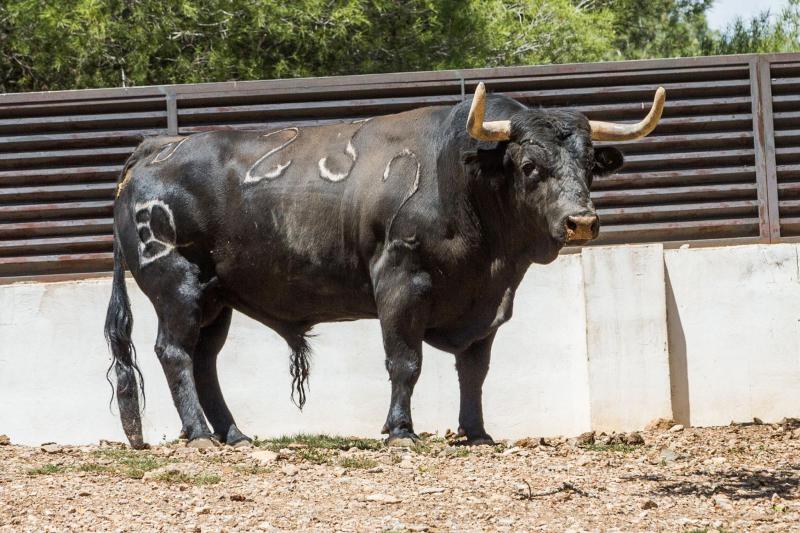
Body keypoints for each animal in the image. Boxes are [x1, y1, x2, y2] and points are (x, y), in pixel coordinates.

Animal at [105, 83, 665, 449]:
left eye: (591, 166)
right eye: (530, 166)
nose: (582, 222)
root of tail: (156, 148)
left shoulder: (486, 301)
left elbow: (475, 369)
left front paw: (477, 432)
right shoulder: (400, 279)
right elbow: (405, 361)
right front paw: (400, 430)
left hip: (217, 298)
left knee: (205, 360)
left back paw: (234, 434)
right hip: (176, 284)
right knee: (175, 352)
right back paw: (200, 435)